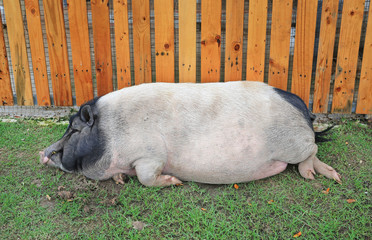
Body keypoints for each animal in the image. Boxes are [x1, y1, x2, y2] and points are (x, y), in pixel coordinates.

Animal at [39, 81, 342, 187]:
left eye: (75, 129)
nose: (43, 153)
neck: (109, 134)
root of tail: (303, 108)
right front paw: (121, 179)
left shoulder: (149, 154)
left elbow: (147, 177)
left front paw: (175, 181)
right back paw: (331, 176)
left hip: (292, 145)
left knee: (312, 150)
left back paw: (315, 176)